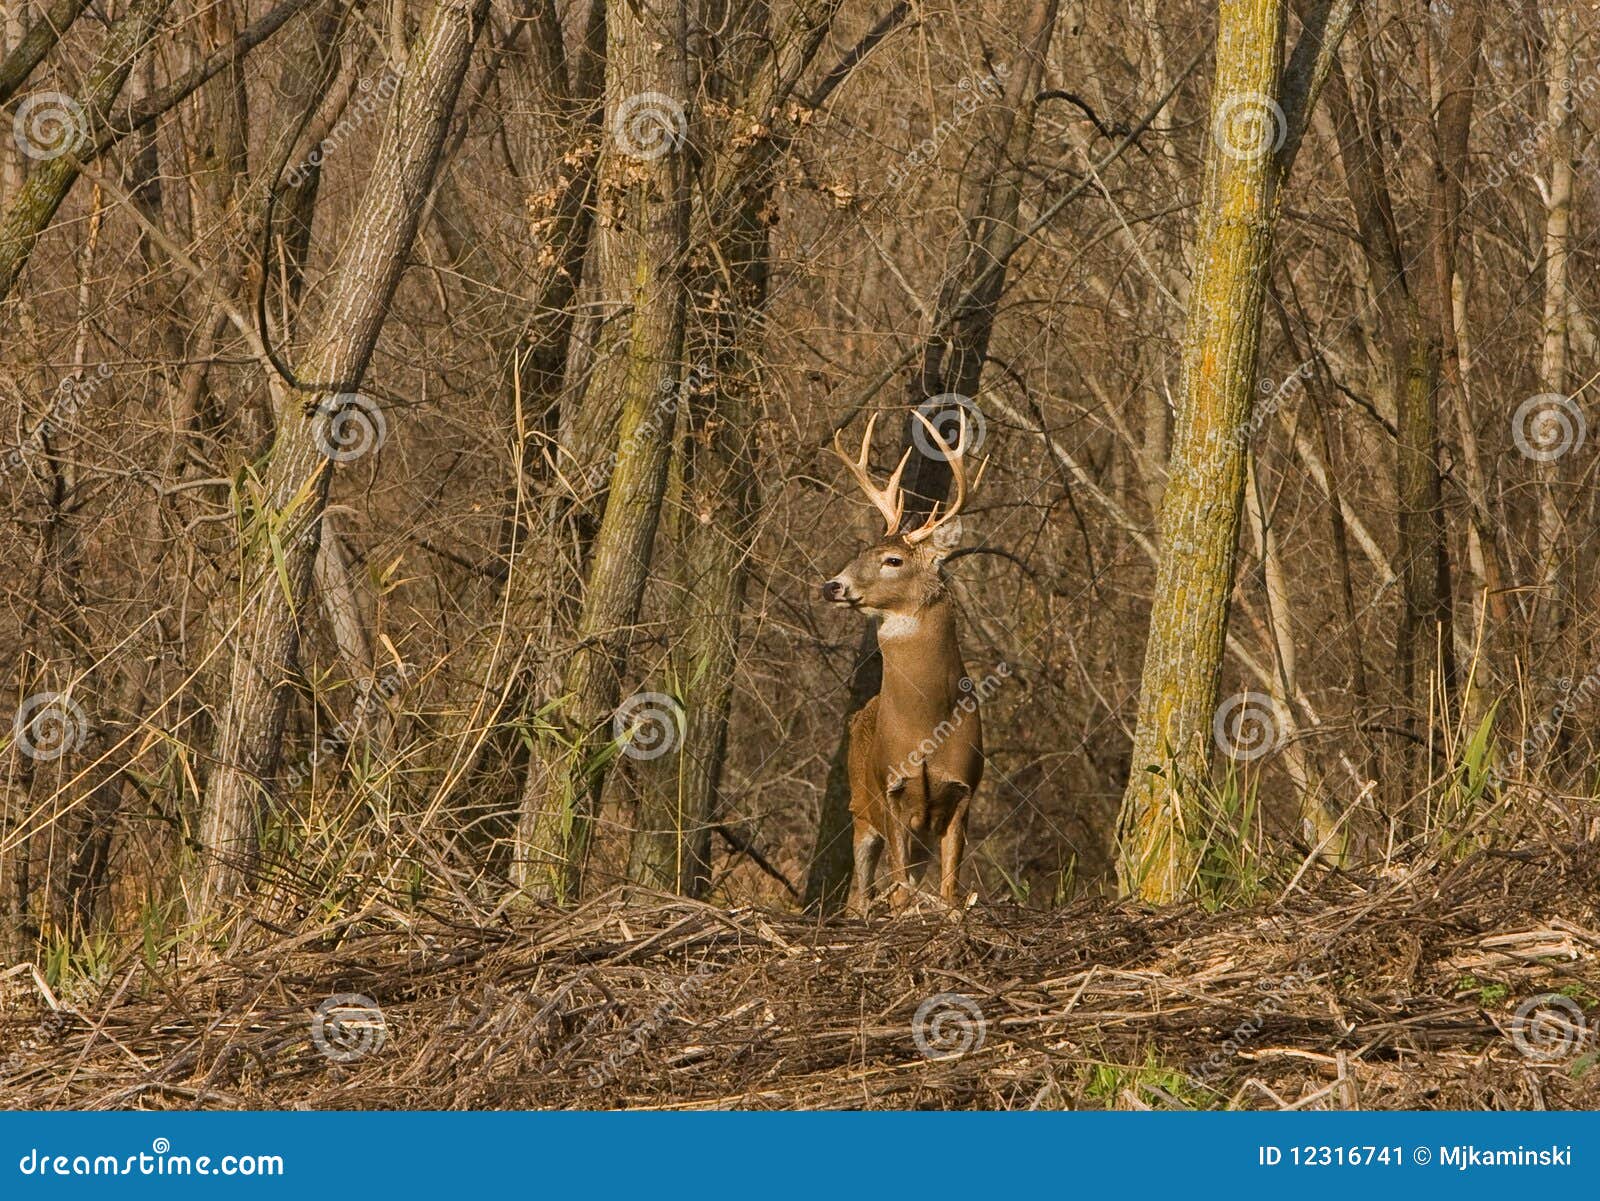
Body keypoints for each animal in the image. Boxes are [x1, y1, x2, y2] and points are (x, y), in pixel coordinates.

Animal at [825, 406, 985, 908]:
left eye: (893, 560)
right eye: (861, 551)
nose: (831, 585)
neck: (927, 726)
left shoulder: (964, 791)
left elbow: (951, 891)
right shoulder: (889, 791)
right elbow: (897, 894)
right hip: (859, 808)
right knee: (862, 894)